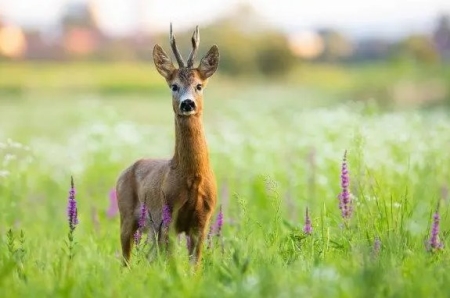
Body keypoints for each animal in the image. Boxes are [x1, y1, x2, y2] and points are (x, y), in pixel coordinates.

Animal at [116, 23, 220, 266]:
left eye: (199, 86)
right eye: (174, 86)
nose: (187, 104)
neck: (193, 177)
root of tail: (125, 171)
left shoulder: (202, 221)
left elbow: (195, 266)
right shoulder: (168, 216)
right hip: (127, 215)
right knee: (125, 259)